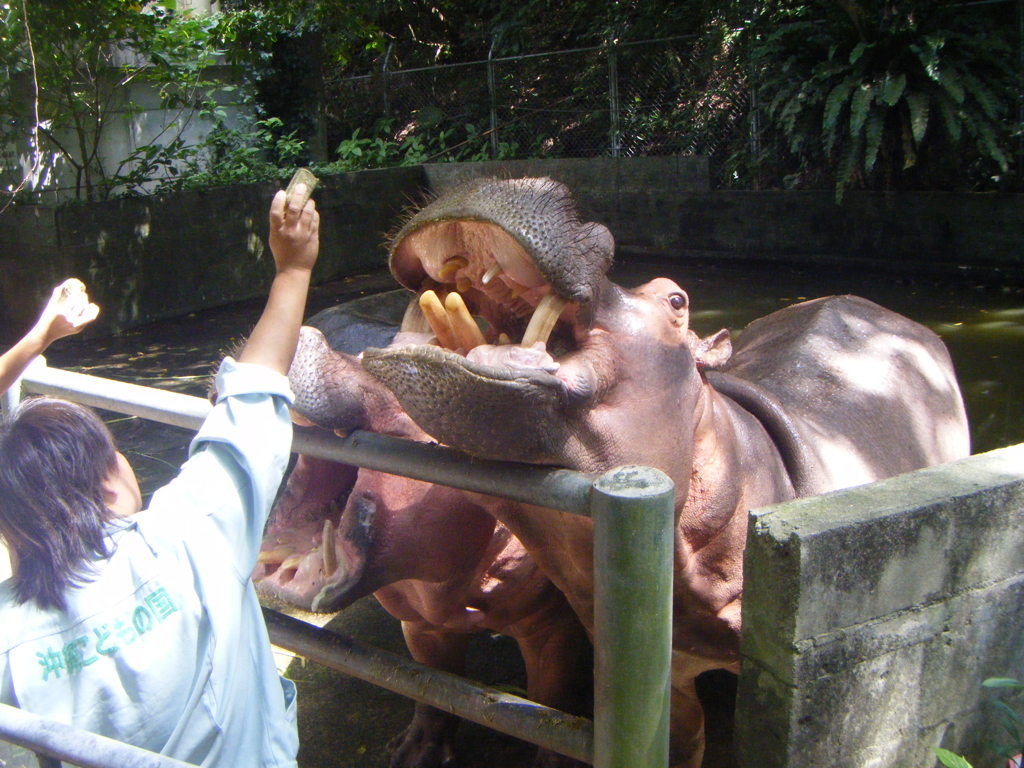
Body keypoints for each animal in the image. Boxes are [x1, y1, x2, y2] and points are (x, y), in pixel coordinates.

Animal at [253, 296, 593, 768]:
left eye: (401, 370)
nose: (322, 325)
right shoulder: (419, 619)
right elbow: (434, 684)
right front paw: (411, 754)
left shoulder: (552, 624)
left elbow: (549, 704)